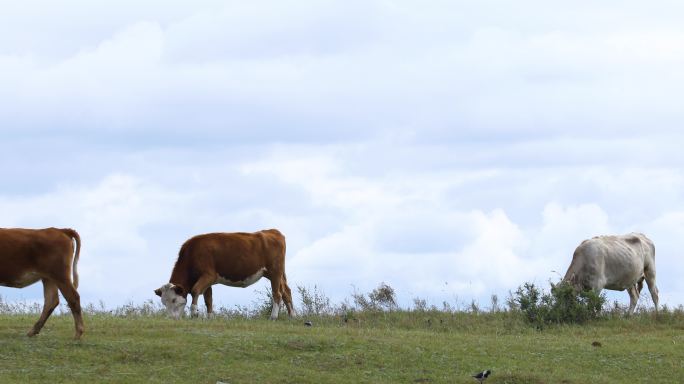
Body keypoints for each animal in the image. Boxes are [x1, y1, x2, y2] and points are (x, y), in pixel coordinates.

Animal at [155, 230, 294, 320]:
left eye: (174, 299)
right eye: (163, 302)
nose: (171, 318)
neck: (192, 254)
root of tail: (273, 231)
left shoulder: (208, 275)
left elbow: (195, 291)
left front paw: (194, 313)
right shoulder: (209, 281)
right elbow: (208, 299)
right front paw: (210, 317)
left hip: (275, 272)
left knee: (277, 294)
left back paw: (273, 317)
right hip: (277, 274)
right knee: (286, 292)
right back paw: (292, 316)